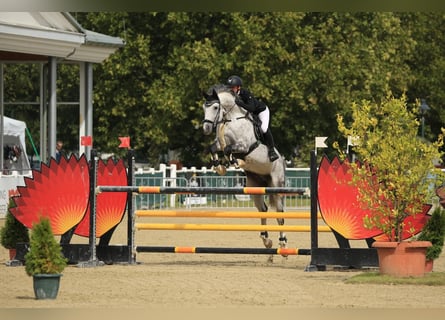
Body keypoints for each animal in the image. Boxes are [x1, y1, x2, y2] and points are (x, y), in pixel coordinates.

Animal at [202, 84, 286, 262]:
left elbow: (229, 149)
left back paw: (282, 246)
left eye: (215, 107)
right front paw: (220, 166)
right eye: (204, 107)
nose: (206, 128)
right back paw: (267, 242)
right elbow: (214, 148)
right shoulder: (220, 143)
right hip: (256, 186)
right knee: (263, 209)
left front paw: (232, 161)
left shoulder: (244, 146)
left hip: (277, 185)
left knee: (280, 214)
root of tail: (282, 161)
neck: (231, 119)